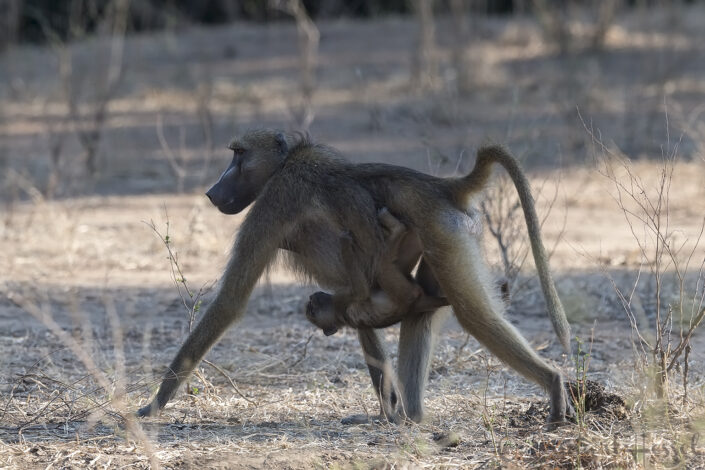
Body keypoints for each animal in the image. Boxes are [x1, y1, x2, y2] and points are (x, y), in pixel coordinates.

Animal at [137, 130, 572, 426]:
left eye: (239, 155)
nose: (212, 192)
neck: (288, 161)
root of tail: (442, 186)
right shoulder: (355, 288)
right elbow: (360, 306)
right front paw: (384, 412)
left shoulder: (275, 200)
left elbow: (230, 301)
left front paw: (152, 405)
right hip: (450, 237)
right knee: (420, 314)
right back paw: (411, 417)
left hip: (442, 233)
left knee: (473, 315)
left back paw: (553, 383)